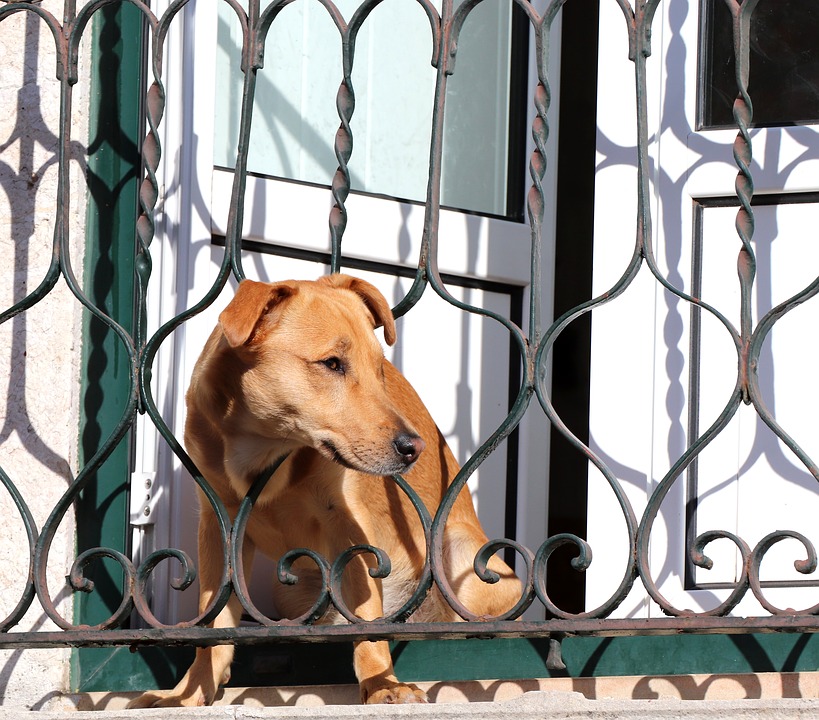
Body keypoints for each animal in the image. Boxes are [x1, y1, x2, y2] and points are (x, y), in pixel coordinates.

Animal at [131, 278, 524, 708]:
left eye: (380, 370)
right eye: (332, 364)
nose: (414, 448)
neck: (264, 447)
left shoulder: (349, 525)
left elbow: (366, 617)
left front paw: (383, 684)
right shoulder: (219, 526)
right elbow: (211, 623)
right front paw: (191, 692)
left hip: (463, 560)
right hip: (291, 592)